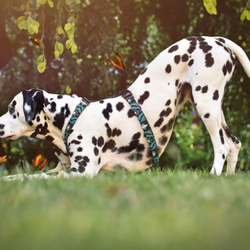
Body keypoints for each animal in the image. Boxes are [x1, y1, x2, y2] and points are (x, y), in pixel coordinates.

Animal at [0, 36, 249, 180]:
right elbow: (26, 175)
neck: (71, 116)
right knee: (234, 144)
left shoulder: (81, 172)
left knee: (221, 147)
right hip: (215, 109)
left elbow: (35, 178)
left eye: (13, 108)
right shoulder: (62, 169)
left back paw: (214, 175)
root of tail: (217, 39)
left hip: (205, 103)